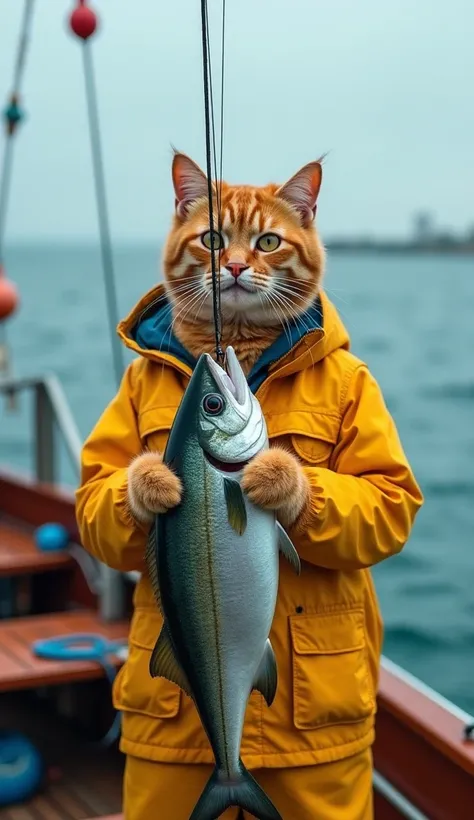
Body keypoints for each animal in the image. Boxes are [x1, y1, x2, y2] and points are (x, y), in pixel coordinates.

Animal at [128, 151, 324, 528]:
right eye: (212, 240)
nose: (233, 266)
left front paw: (278, 477)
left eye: (268, 242)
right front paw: (151, 481)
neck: (236, 330)